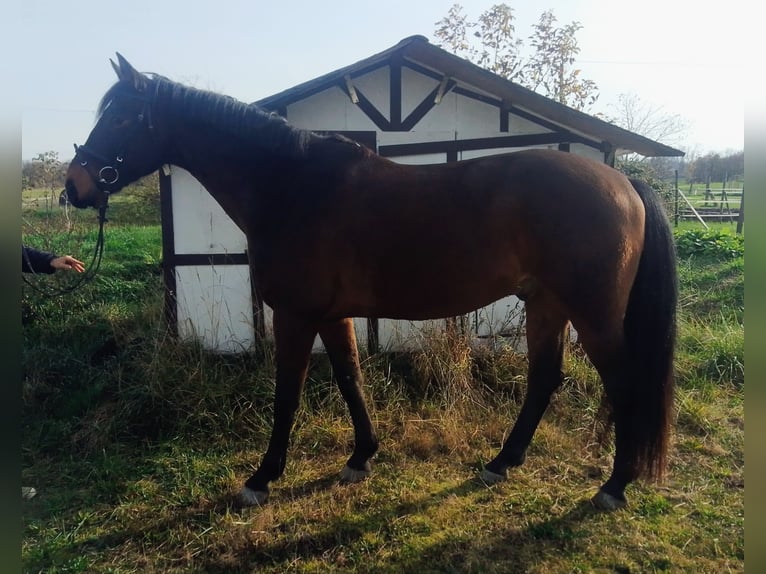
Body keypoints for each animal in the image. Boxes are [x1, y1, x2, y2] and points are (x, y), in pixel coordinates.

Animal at [65, 53, 677, 511]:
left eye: (121, 118)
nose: (75, 185)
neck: (290, 186)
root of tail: (623, 181)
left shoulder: (295, 315)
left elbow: (287, 394)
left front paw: (262, 479)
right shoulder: (333, 315)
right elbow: (350, 379)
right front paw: (361, 457)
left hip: (593, 315)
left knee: (624, 384)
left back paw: (613, 487)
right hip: (546, 302)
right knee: (546, 376)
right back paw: (501, 463)